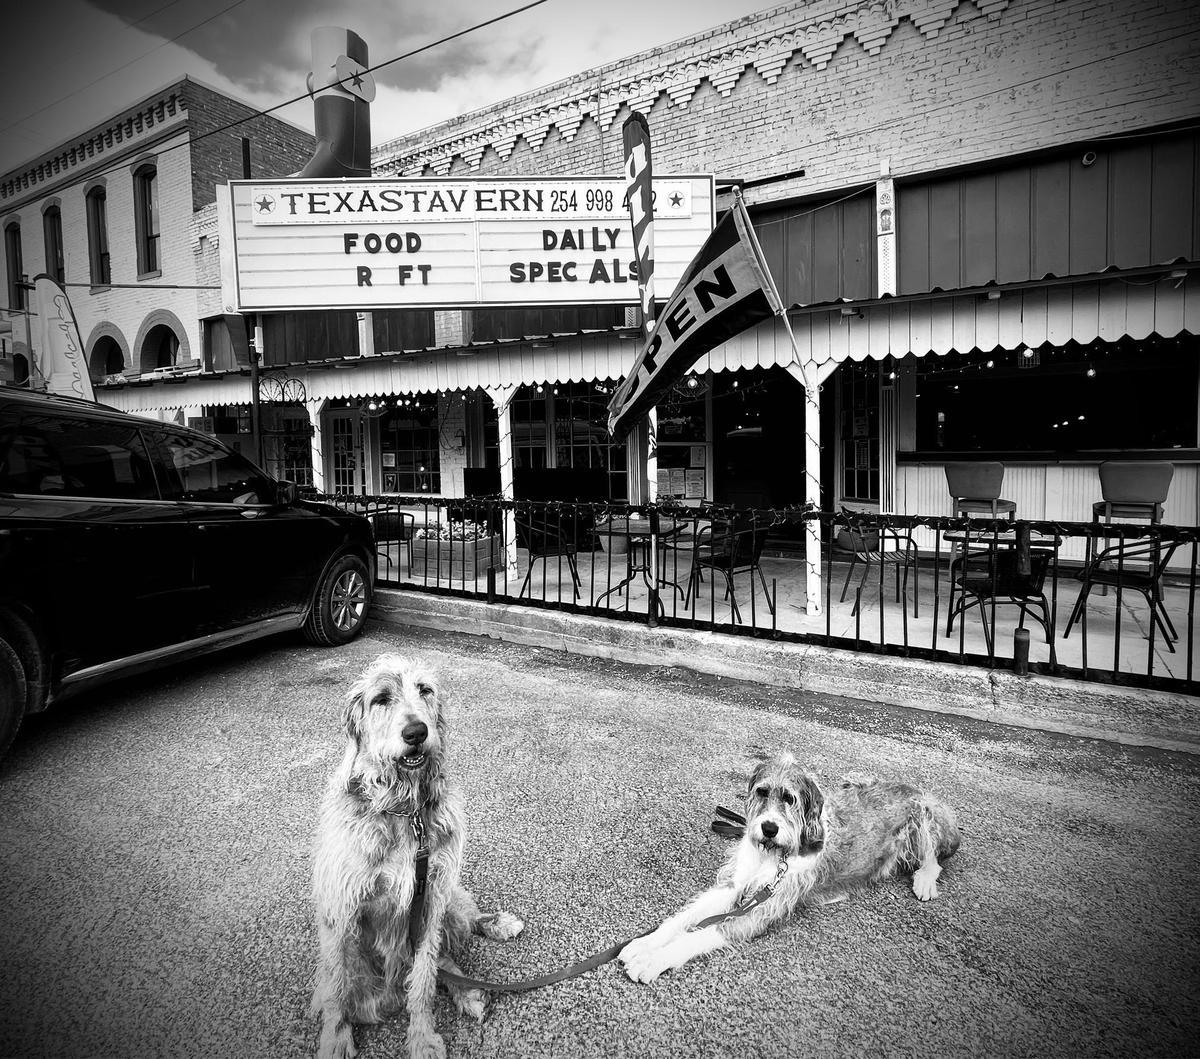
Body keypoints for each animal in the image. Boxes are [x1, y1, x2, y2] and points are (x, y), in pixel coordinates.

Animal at [309, 653, 520, 1056]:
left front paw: (422, 1038)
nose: (416, 733)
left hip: (448, 901)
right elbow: (337, 988)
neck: (405, 809)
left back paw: (488, 943)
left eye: (425, 690)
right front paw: (336, 1038)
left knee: (454, 940)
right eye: (381, 699)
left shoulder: (432, 896)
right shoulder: (341, 907)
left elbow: (424, 979)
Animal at [624, 749, 960, 984]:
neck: (776, 854)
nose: (769, 828)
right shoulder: (736, 885)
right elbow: (683, 919)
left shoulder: (763, 907)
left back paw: (925, 880)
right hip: (856, 779)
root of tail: (914, 787)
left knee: (934, 858)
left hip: (923, 813)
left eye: (790, 798)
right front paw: (644, 943)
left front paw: (652, 960)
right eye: (762, 792)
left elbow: (700, 934)